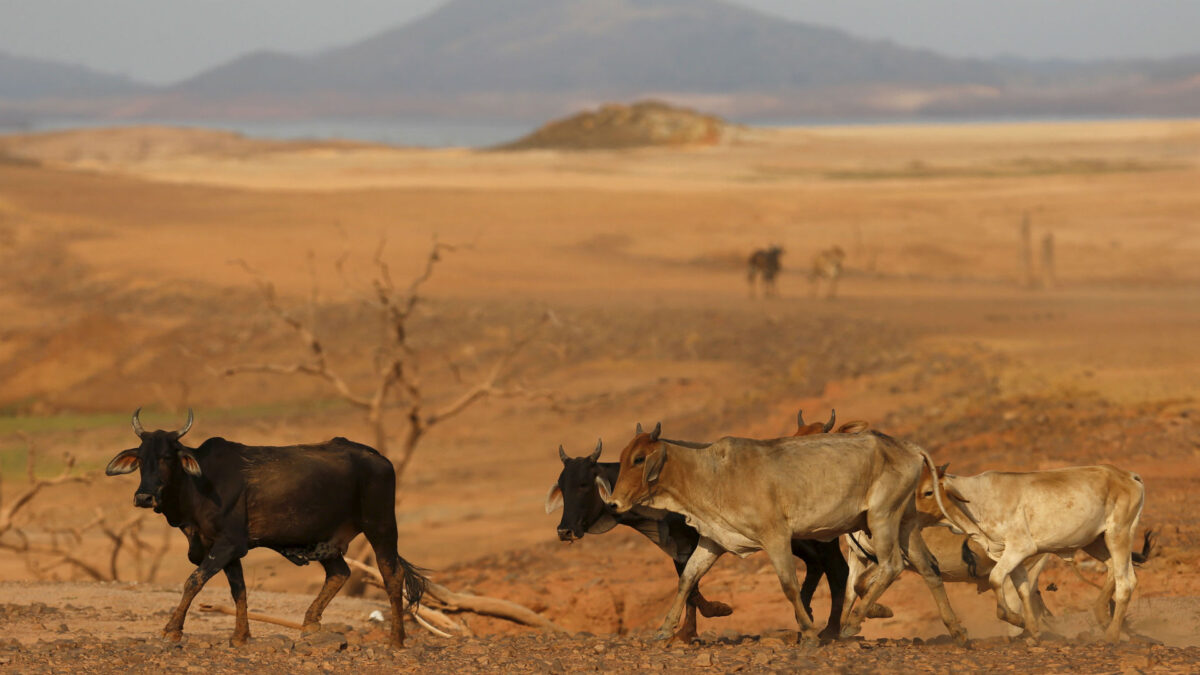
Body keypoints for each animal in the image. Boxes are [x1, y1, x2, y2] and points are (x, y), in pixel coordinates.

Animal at [106, 408, 427, 643]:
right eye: (140, 459)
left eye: (166, 457)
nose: (144, 497)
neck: (197, 485)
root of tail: (379, 457)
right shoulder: (224, 548)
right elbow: (239, 589)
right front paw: (240, 636)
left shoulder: (229, 543)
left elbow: (194, 581)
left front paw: (172, 630)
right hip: (326, 540)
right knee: (340, 573)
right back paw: (310, 624)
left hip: (381, 527)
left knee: (392, 575)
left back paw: (396, 640)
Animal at [549, 437, 849, 634]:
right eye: (561, 485)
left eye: (584, 484)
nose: (564, 531)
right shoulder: (684, 548)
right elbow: (688, 583)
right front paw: (686, 631)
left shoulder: (690, 542)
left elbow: (692, 587)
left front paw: (705, 619)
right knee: (821, 567)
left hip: (816, 538)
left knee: (837, 570)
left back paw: (831, 630)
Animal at [600, 422, 964, 643]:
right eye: (623, 456)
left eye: (639, 458)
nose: (615, 502)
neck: (710, 473)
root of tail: (908, 447)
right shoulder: (713, 539)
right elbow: (688, 579)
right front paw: (664, 630)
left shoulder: (775, 536)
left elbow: (789, 584)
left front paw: (808, 631)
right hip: (905, 523)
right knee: (929, 568)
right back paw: (956, 630)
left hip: (881, 518)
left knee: (891, 566)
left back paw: (851, 624)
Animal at [916, 461, 1142, 638]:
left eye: (928, 491)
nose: (912, 515)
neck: (978, 501)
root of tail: (1129, 476)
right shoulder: (1009, 554)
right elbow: (1023, 590)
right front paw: (1032, 630)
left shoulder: (1019, 548)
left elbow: (996, 580)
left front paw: (1015, 619)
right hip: (1095, 542)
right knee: (1115, 573)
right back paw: (1102, 616)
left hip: (1118, 534)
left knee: (1125, 582)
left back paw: (1111, 635)